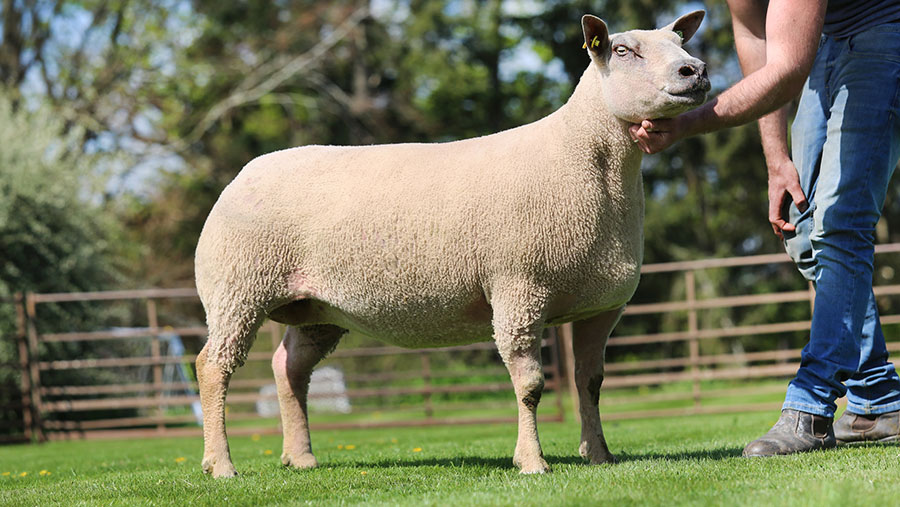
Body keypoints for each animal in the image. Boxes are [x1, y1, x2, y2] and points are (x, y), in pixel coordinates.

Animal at [195, 12, 712, 480]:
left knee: (289, 370)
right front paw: (532, 462)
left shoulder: (600, 306)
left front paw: (600, 456)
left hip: (315, 308)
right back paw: (221, 465)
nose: (696, 70)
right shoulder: (519, 289)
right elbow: (531, 385)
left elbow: (591, 382)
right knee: (212, 367)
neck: (583, 162)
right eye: (623, 51)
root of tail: (246, 171)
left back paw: (299, 457)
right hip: (237, 289)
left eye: (679, 42)